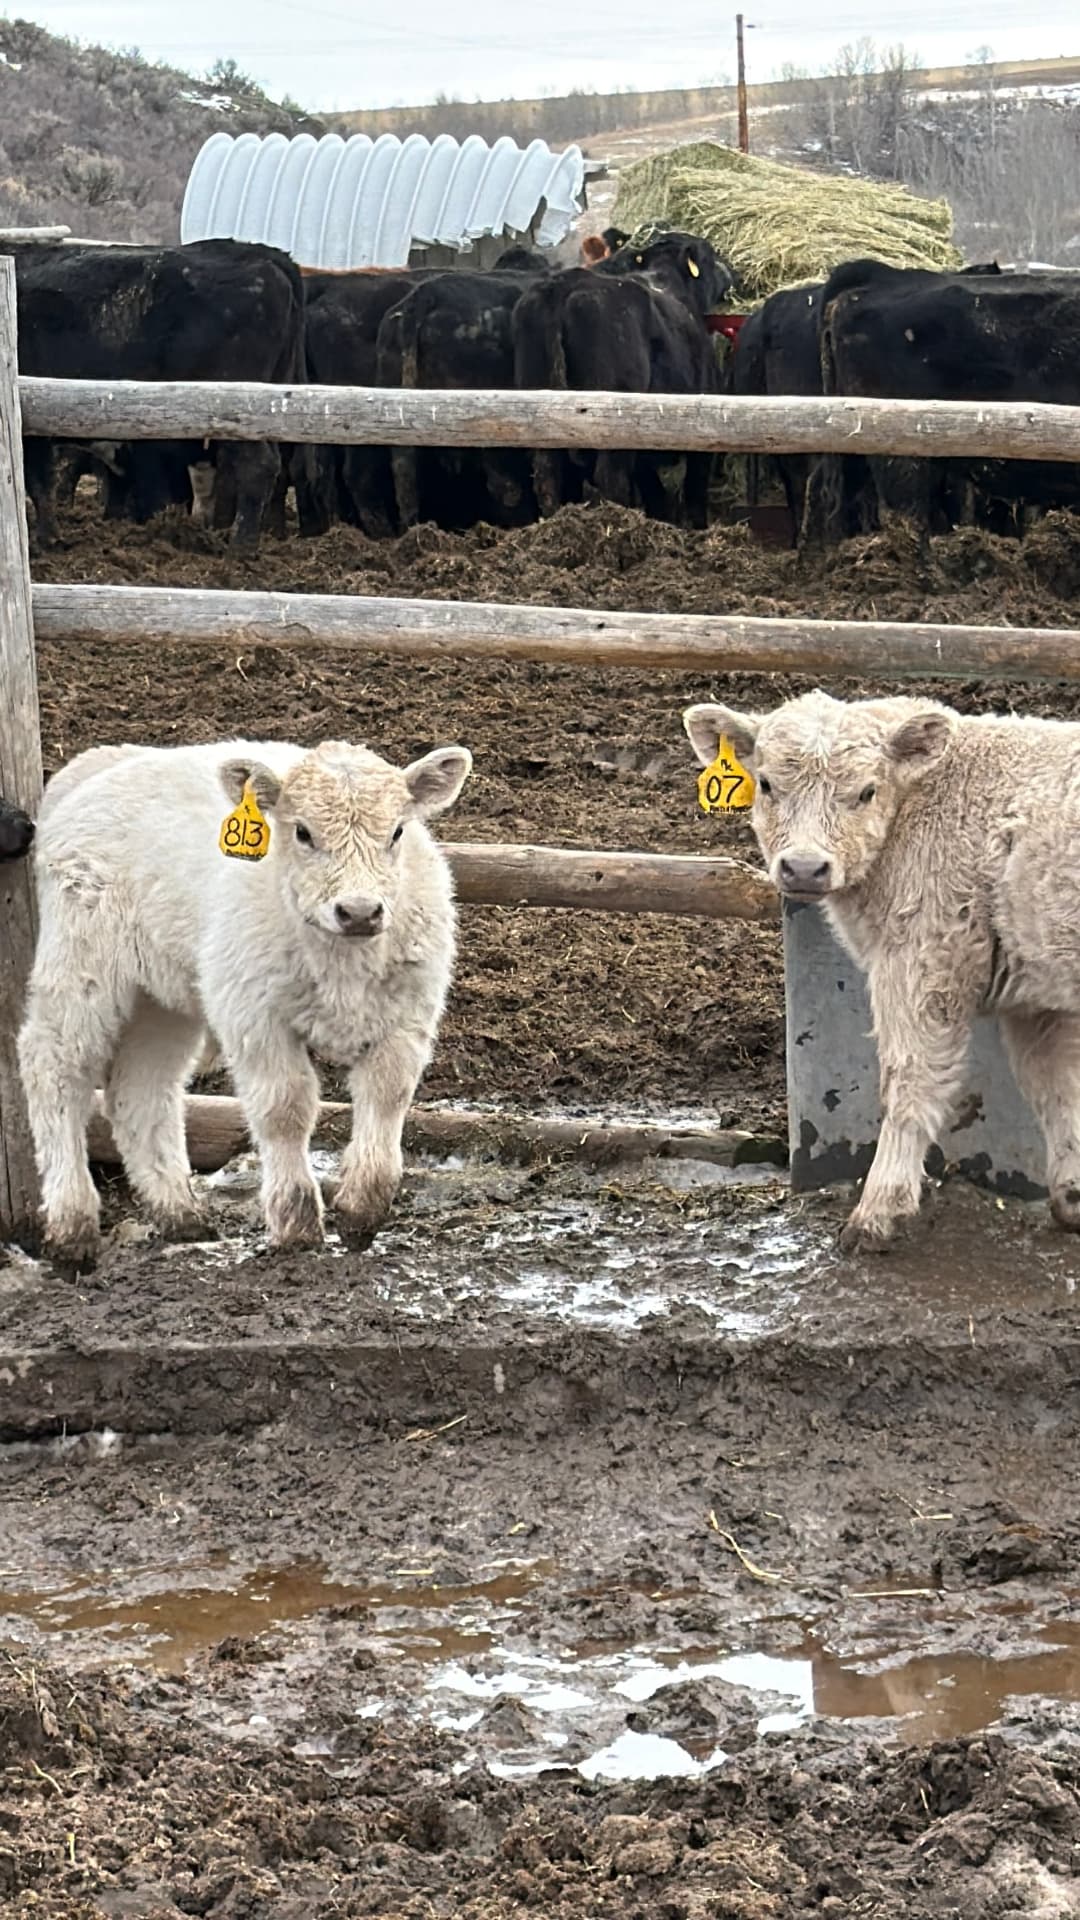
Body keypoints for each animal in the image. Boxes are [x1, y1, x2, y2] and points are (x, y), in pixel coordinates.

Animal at [10, 238, 303, 548]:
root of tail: (263, 255)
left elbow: (39, 483)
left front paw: (47, 540)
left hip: (239, 410)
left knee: (257, 466)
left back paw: (241, 546)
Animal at [18, 734, 472, 1272]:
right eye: (302, 832)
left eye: (398, 831)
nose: (359, 911)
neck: (343, 964)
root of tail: (96, 764)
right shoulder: (254, 1014)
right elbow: (285, 1107)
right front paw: (297, 1226)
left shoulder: (408, 1017)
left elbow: (387, 1094)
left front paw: (362, 1211)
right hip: (81, 969)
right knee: (53, 1068)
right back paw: (71, 1227)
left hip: (163, 998)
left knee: (140, 1089)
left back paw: (181, 1214)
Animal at [513, 230, 733, 525]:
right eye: (709, 255)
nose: (730, 273)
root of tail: (561, 287)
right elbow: (694, 492)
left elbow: (655, 493)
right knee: (610, 477)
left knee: (546, 474)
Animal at [684, 688, 1080, 1253]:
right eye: (766, 784)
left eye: (867, 792)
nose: (804, 868)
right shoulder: (1036, 995)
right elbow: (1055, 1088)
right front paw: (1072, 1199)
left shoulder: (923, 959)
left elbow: (910, 1082)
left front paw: (877, 1211)